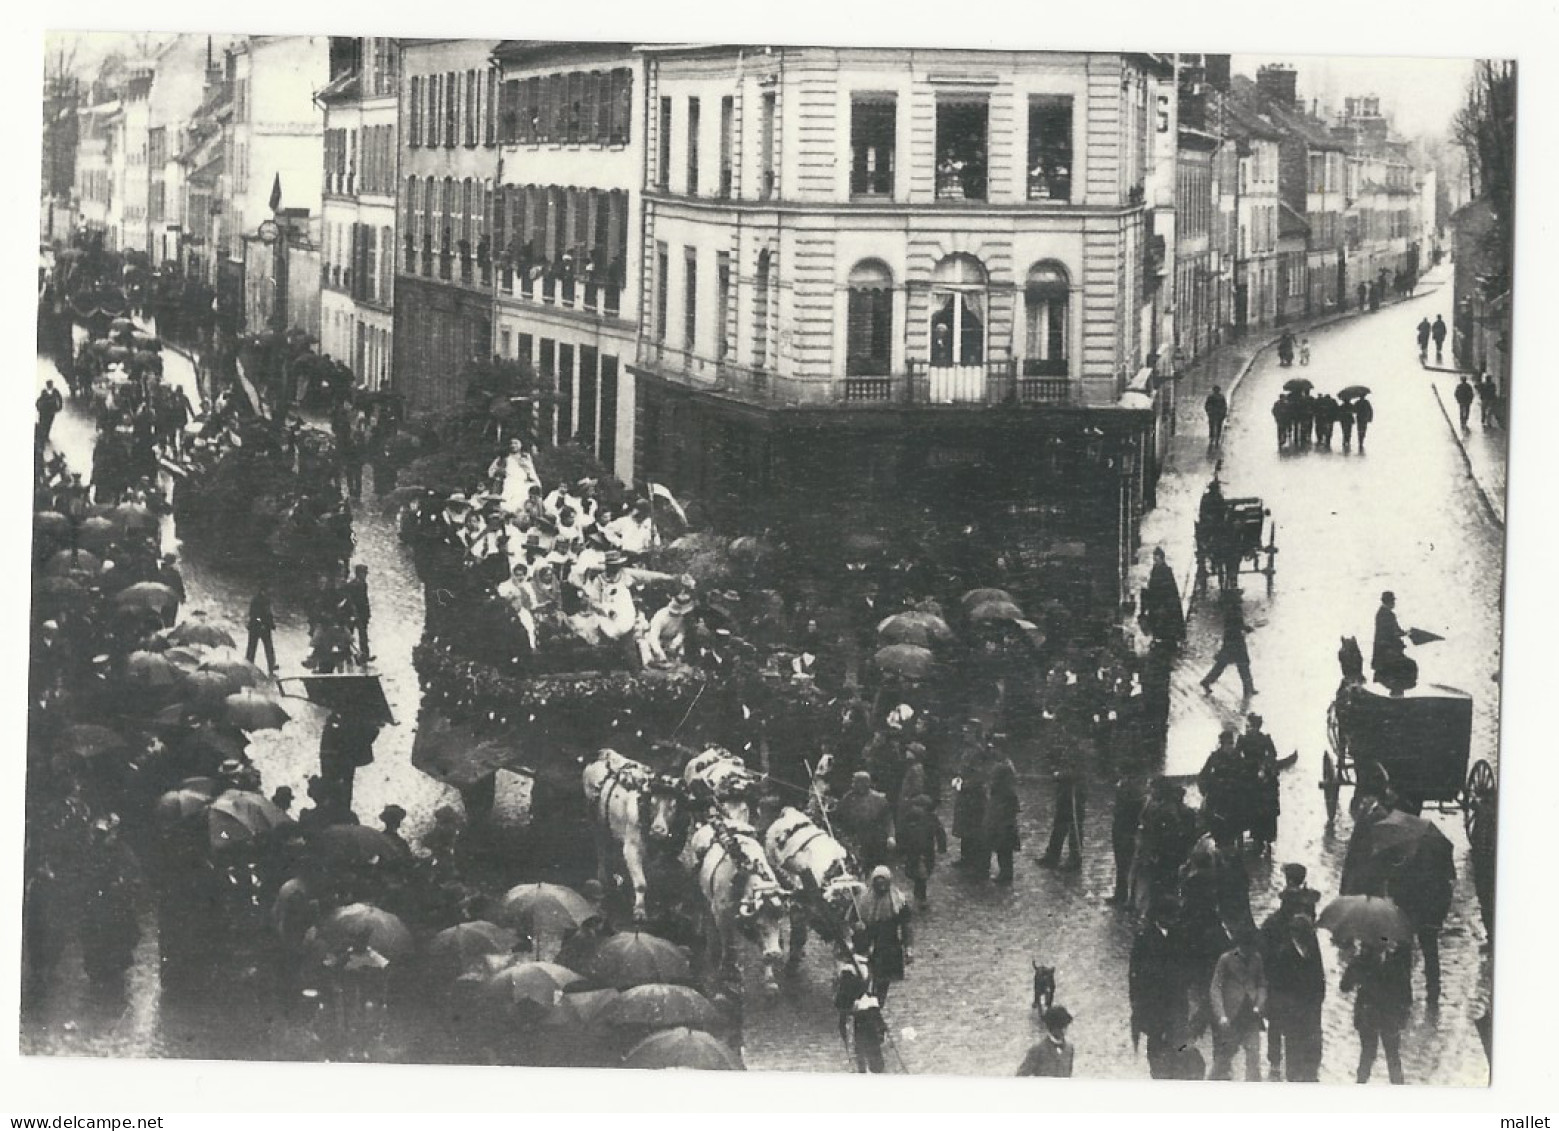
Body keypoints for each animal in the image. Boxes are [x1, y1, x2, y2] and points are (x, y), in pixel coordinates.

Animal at [586, 745, 682, 923]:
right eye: (652, 803)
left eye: (674, 806)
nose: (658, 830)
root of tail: (604, 752)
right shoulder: (631, 847)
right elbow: (641, 883)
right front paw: (639, 911)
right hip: (596, 821)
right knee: (601, 850)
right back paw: (603, 879)